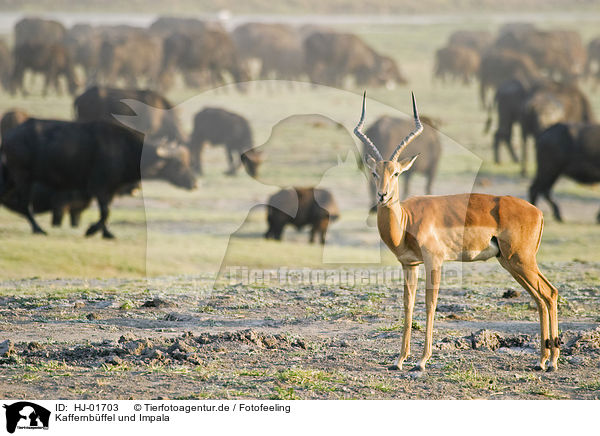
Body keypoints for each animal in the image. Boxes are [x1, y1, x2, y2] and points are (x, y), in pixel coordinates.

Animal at [0, 119, 196, 238]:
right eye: (179, 163)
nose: (194, 183)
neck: (125, 149)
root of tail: (8, 135)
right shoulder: (99, 187)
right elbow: (105, 211)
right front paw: (92, 230)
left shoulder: (110, 190)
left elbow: (106, 212)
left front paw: (105, 233)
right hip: (22, 176)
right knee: (25, 204)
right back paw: (38, 229)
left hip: (10, 177)